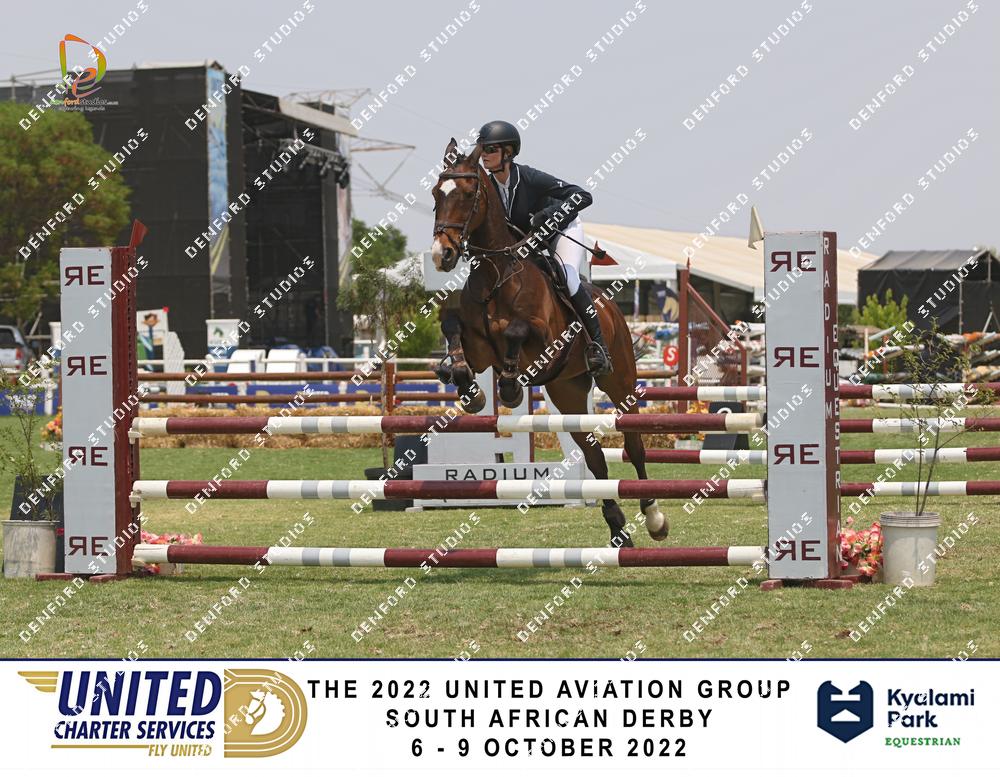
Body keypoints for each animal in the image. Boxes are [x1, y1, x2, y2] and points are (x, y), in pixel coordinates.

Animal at [429, 138, 667, 547]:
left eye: (468, 193)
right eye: (435, 194)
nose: (440, 255)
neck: (498, 273)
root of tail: (612, 308)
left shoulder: (543, 340)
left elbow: (515, 331)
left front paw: (509, 389)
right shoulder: (481, 351)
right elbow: (452, 326)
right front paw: (466, 386)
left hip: (619, 382)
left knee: (634, 444)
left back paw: (654, 519)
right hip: (567, 390)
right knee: (594, 457)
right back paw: (618, 528)